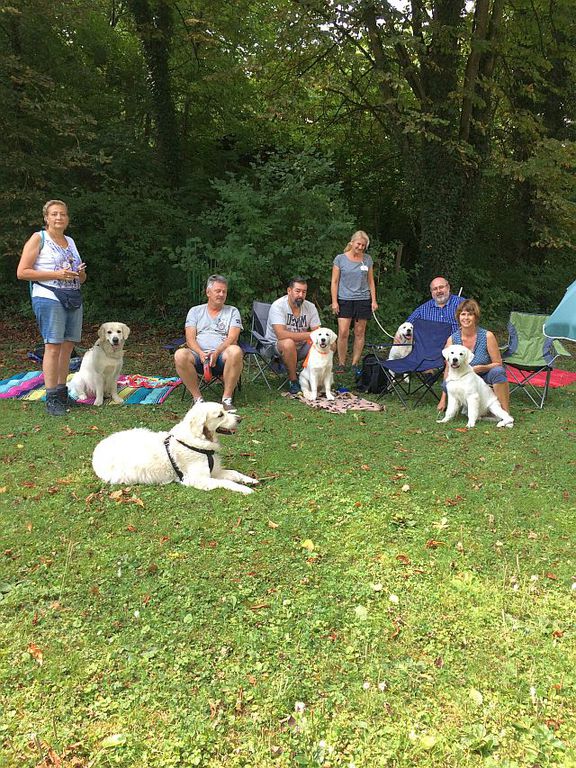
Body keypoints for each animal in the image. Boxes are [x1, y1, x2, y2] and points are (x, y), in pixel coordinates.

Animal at [92, 401, 258, 494]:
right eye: (220, 415)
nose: (240, 419)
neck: (198, 440)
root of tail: (99, 446)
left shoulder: (214, 471)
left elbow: (234, 473)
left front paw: (250, 480)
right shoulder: (197, 479)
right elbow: (227, 482)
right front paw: (245, 489)